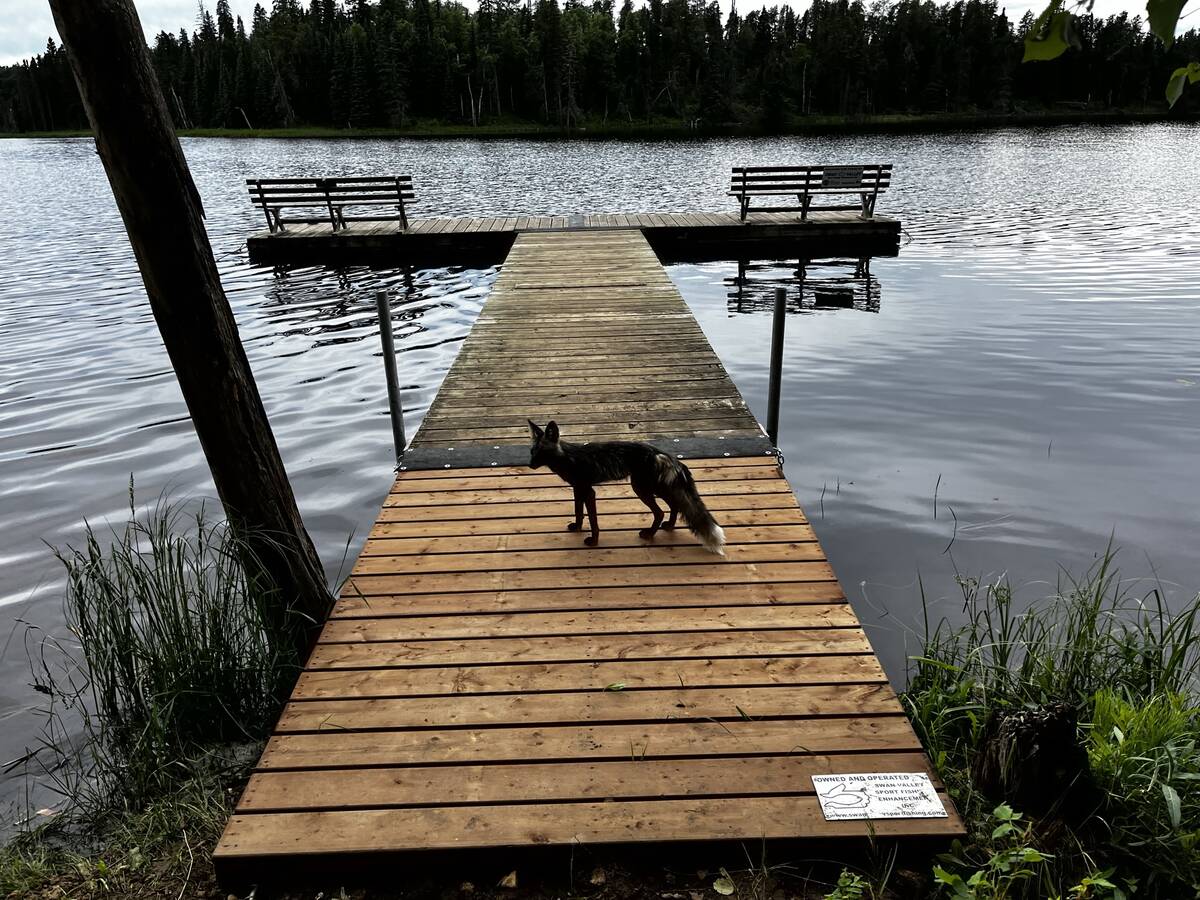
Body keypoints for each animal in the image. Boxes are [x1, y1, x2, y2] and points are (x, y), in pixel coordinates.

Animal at [527, 420, 726, 555]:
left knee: (660, 511)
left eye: (541, 452)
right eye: (532, 452)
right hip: (656, 488)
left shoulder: (589, 491)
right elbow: (578, 512)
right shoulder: (578, 489)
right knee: (674, 506)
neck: (569, 458)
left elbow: (593, 521)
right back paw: (669, 526)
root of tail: (663, 454)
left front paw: (594, 542)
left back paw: (650, 534)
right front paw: (577, 527)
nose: (530, 464)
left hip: (642, 488)